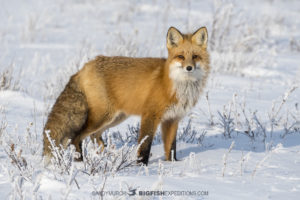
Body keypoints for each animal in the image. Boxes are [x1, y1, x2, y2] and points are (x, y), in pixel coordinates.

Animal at [43, 26, 210, 164]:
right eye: (181, 56)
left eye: (195, 56)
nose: (189, 68)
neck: (178, 85)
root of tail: (85, 66)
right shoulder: (150, 115)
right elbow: (144, 145)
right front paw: (142, 167)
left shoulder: (172, 119)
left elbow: (171, 148)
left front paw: (173, 165)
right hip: (103, 117)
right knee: (77, 137)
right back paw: (80, 162)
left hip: (115, 118)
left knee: (94, 136)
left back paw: (104, 158)